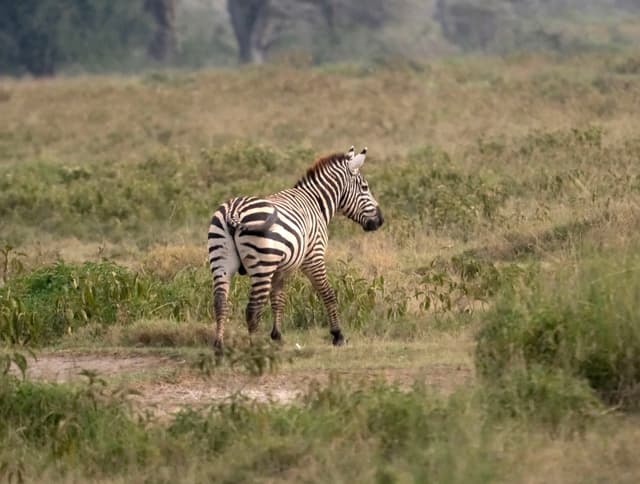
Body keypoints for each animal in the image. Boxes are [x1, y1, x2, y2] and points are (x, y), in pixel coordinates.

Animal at [207, 146, 383, 351]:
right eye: (365, 187)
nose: (380, 220)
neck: (316, 203)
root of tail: (234, 212)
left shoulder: (281, 269)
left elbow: (278, 298)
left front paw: (277, 336)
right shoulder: (314, 257)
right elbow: (327, 293)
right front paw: (337, 335)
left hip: (221, 259)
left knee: (220, 302)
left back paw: (219, 345)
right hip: (261, 266)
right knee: (253, 308)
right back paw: (255, 347)